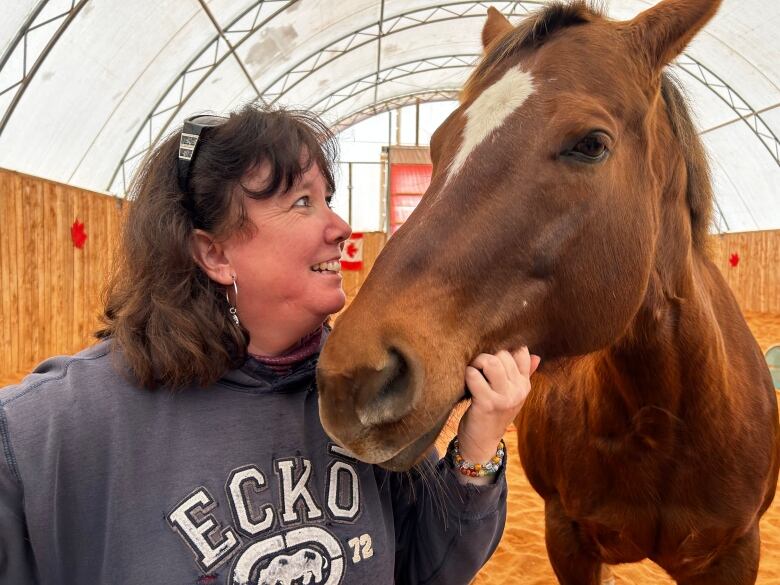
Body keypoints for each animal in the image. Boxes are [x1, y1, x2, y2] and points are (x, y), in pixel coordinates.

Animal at [316, 2, 780, 580]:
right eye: (439, 144)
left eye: (592, 144)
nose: (352, 377)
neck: (663, 420)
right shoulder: (567, 537)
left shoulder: (735, 552)